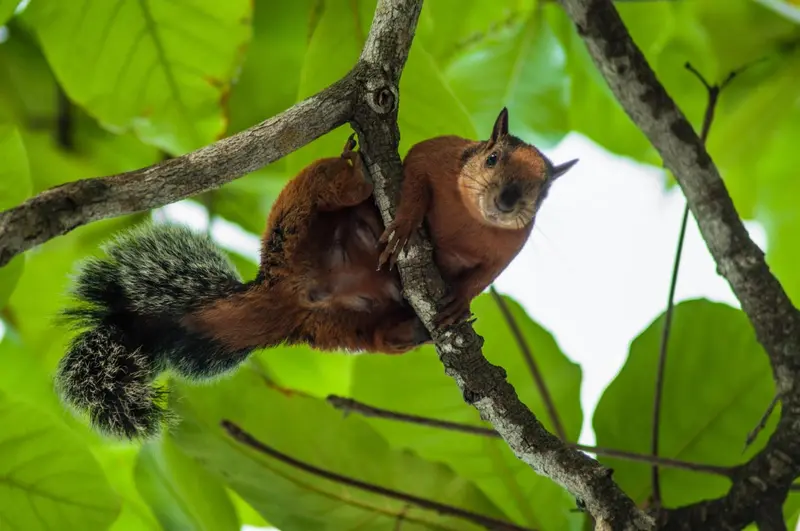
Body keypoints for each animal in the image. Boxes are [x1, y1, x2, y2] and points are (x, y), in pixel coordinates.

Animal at [55, 107, 577, 440]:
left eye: (542, 191)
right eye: (491, 158)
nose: (508, 200)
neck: (469, 220)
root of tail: (291, 291)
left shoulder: (506, 252)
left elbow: (481, 279)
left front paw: (460, 303)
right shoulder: (436, 154)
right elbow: (413, 177)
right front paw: (407, 220)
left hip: (347, 326)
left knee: (381, 337)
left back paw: (411, 330)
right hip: (302, 207)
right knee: (338, 187)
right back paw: (358, 174)